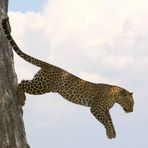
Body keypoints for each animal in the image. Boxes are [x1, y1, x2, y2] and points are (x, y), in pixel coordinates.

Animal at [1, 17, 135, 139]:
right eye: (131, 102)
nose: (131, 111)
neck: (115, 96)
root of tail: (49, 64)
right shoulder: (96, 108)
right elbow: (106, 121)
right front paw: (110, 133)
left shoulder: (105, 110)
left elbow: (110, 121)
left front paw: (112, 133)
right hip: (42, 86)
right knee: (22, 82)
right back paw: (21, 99)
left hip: (41, 84)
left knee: (24, 81)